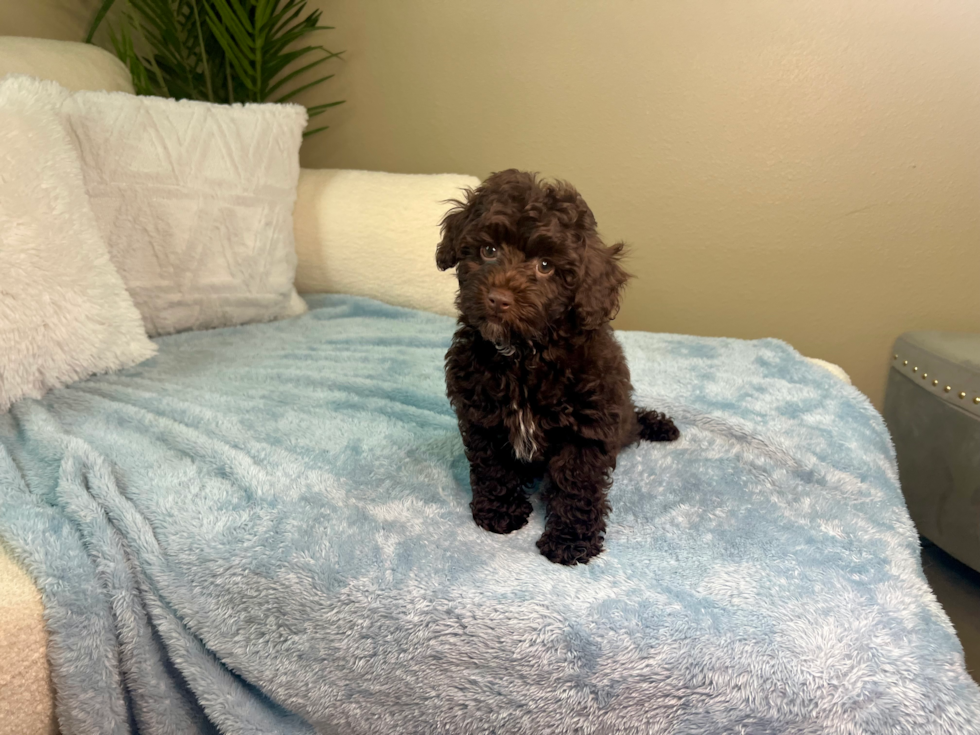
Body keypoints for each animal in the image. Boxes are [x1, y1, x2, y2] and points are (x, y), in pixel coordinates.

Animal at [438, 170, 680, 568]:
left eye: (546, 266)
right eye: (489, 250)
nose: (498, 299)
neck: (523, 353)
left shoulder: (585, 426)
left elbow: (575, 483)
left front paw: (570, 540)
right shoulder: (482, 414)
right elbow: (492, 465)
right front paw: (499, 512)